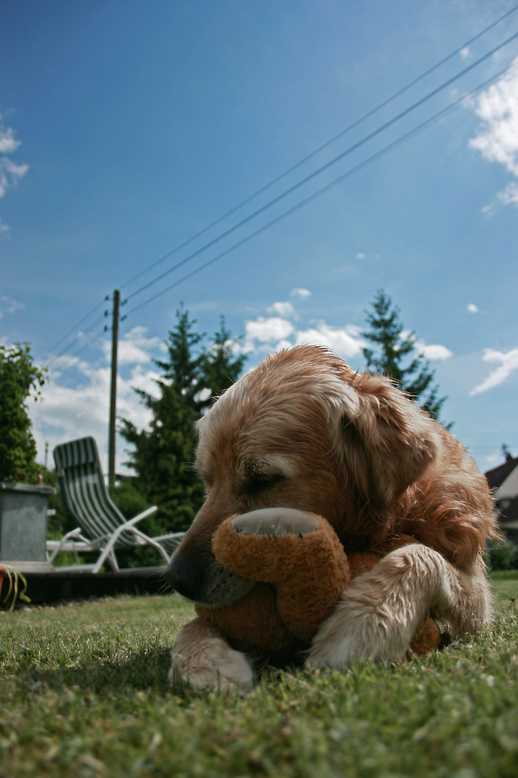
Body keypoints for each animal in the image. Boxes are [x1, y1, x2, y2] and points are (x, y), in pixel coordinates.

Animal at [165, 342, 498, 688]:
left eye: (263, 479)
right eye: (208, 481)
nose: (177, 578)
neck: (403, 513)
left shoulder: (479, 604)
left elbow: (420, 554)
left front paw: (363, 624)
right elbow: (191, 627)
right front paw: (204, 662)